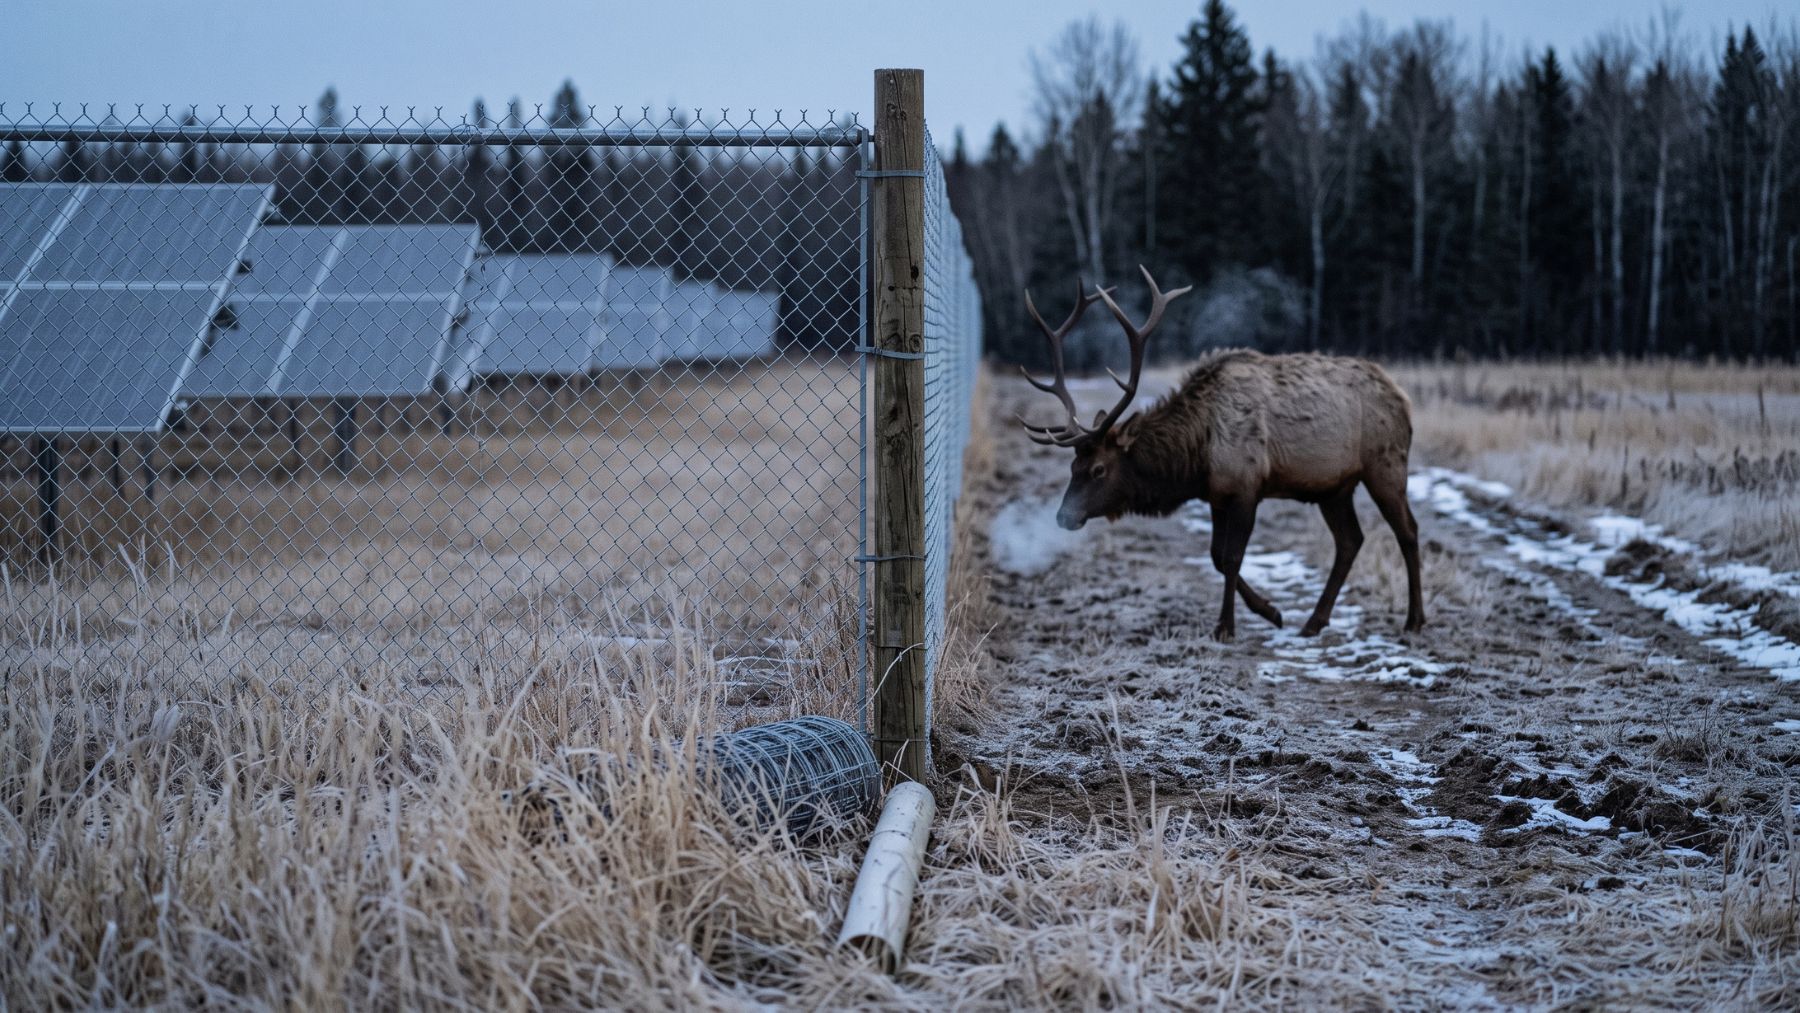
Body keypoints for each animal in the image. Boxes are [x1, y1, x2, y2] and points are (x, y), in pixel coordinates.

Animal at [1018, 267, 1425, 643]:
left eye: (1099, 469)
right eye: (1073, 465)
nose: (1063, 516)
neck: (1197, 457)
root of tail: (1403, 399)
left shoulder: (1247, 486)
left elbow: (1231, 558)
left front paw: (1227, 626)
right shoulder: (1216, 494)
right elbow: (1215, 555)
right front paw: (1271, 611)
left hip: (1386, 464)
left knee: (1407, 530)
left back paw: (1414, 621)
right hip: (1334, 487)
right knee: (1350, 540)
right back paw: (1314, 622)